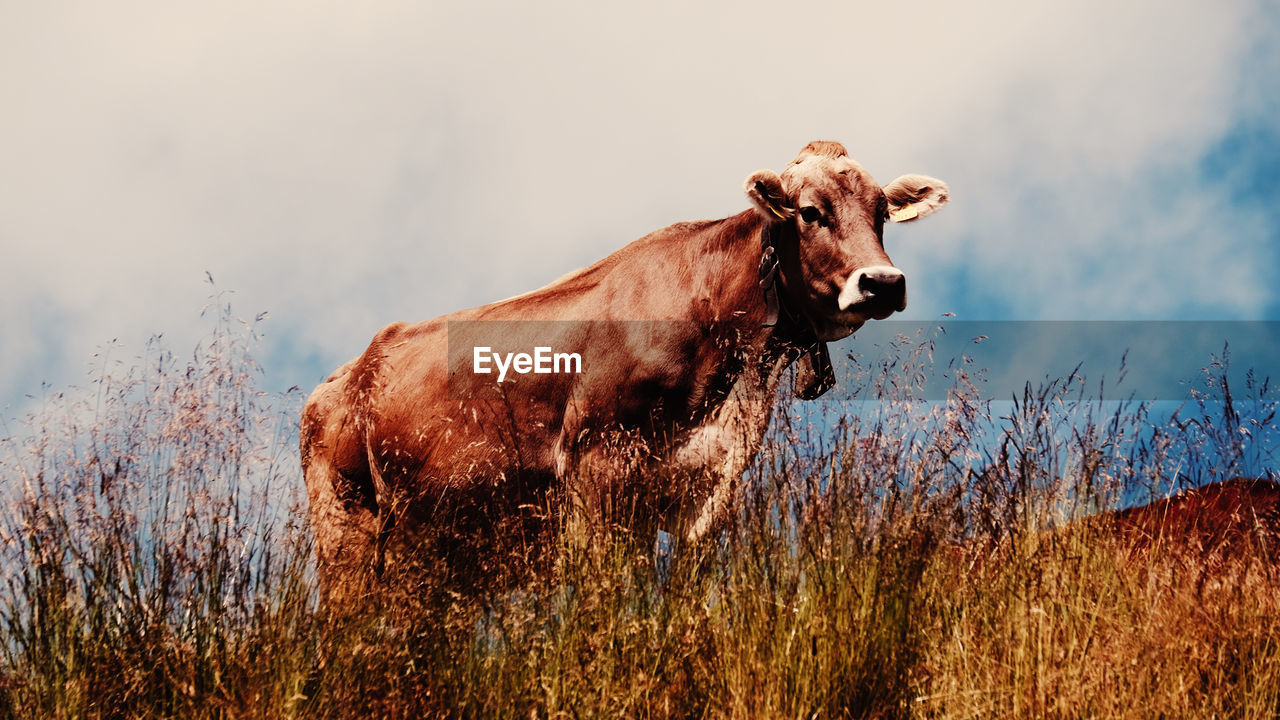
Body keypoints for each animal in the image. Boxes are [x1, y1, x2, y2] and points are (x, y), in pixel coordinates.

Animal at [299, 140, 952, 589]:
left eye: (882, 213)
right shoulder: (595, 471)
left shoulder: (707, 487)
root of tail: (343, 377)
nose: (883, 283)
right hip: (347, 527)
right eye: (811, 212)